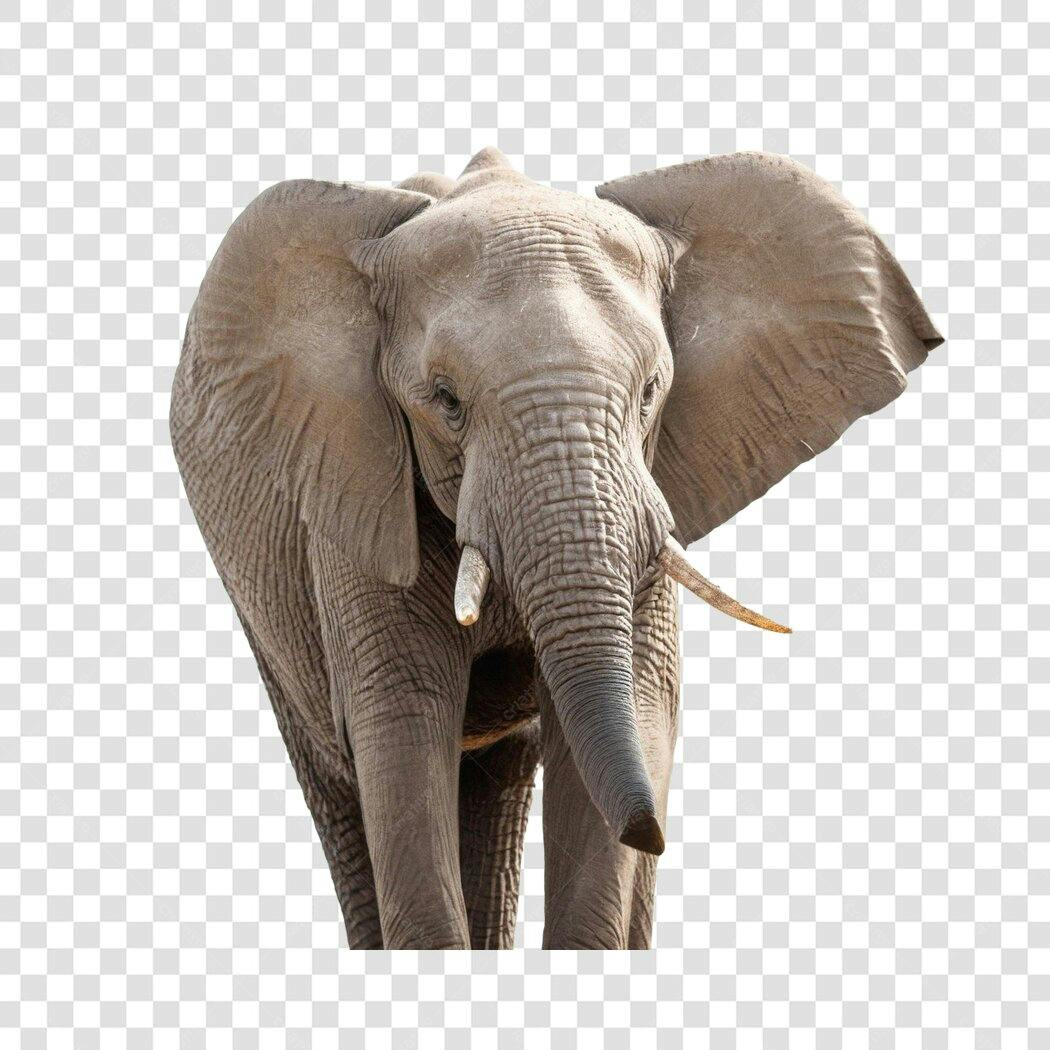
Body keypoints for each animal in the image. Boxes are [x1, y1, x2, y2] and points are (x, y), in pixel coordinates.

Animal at [169, 146, 942, 949]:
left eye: (651, 389)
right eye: (445, 401)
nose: (653, 832)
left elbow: (632, 701)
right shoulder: (354, 482)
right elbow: (402, 719)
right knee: (340, 777)